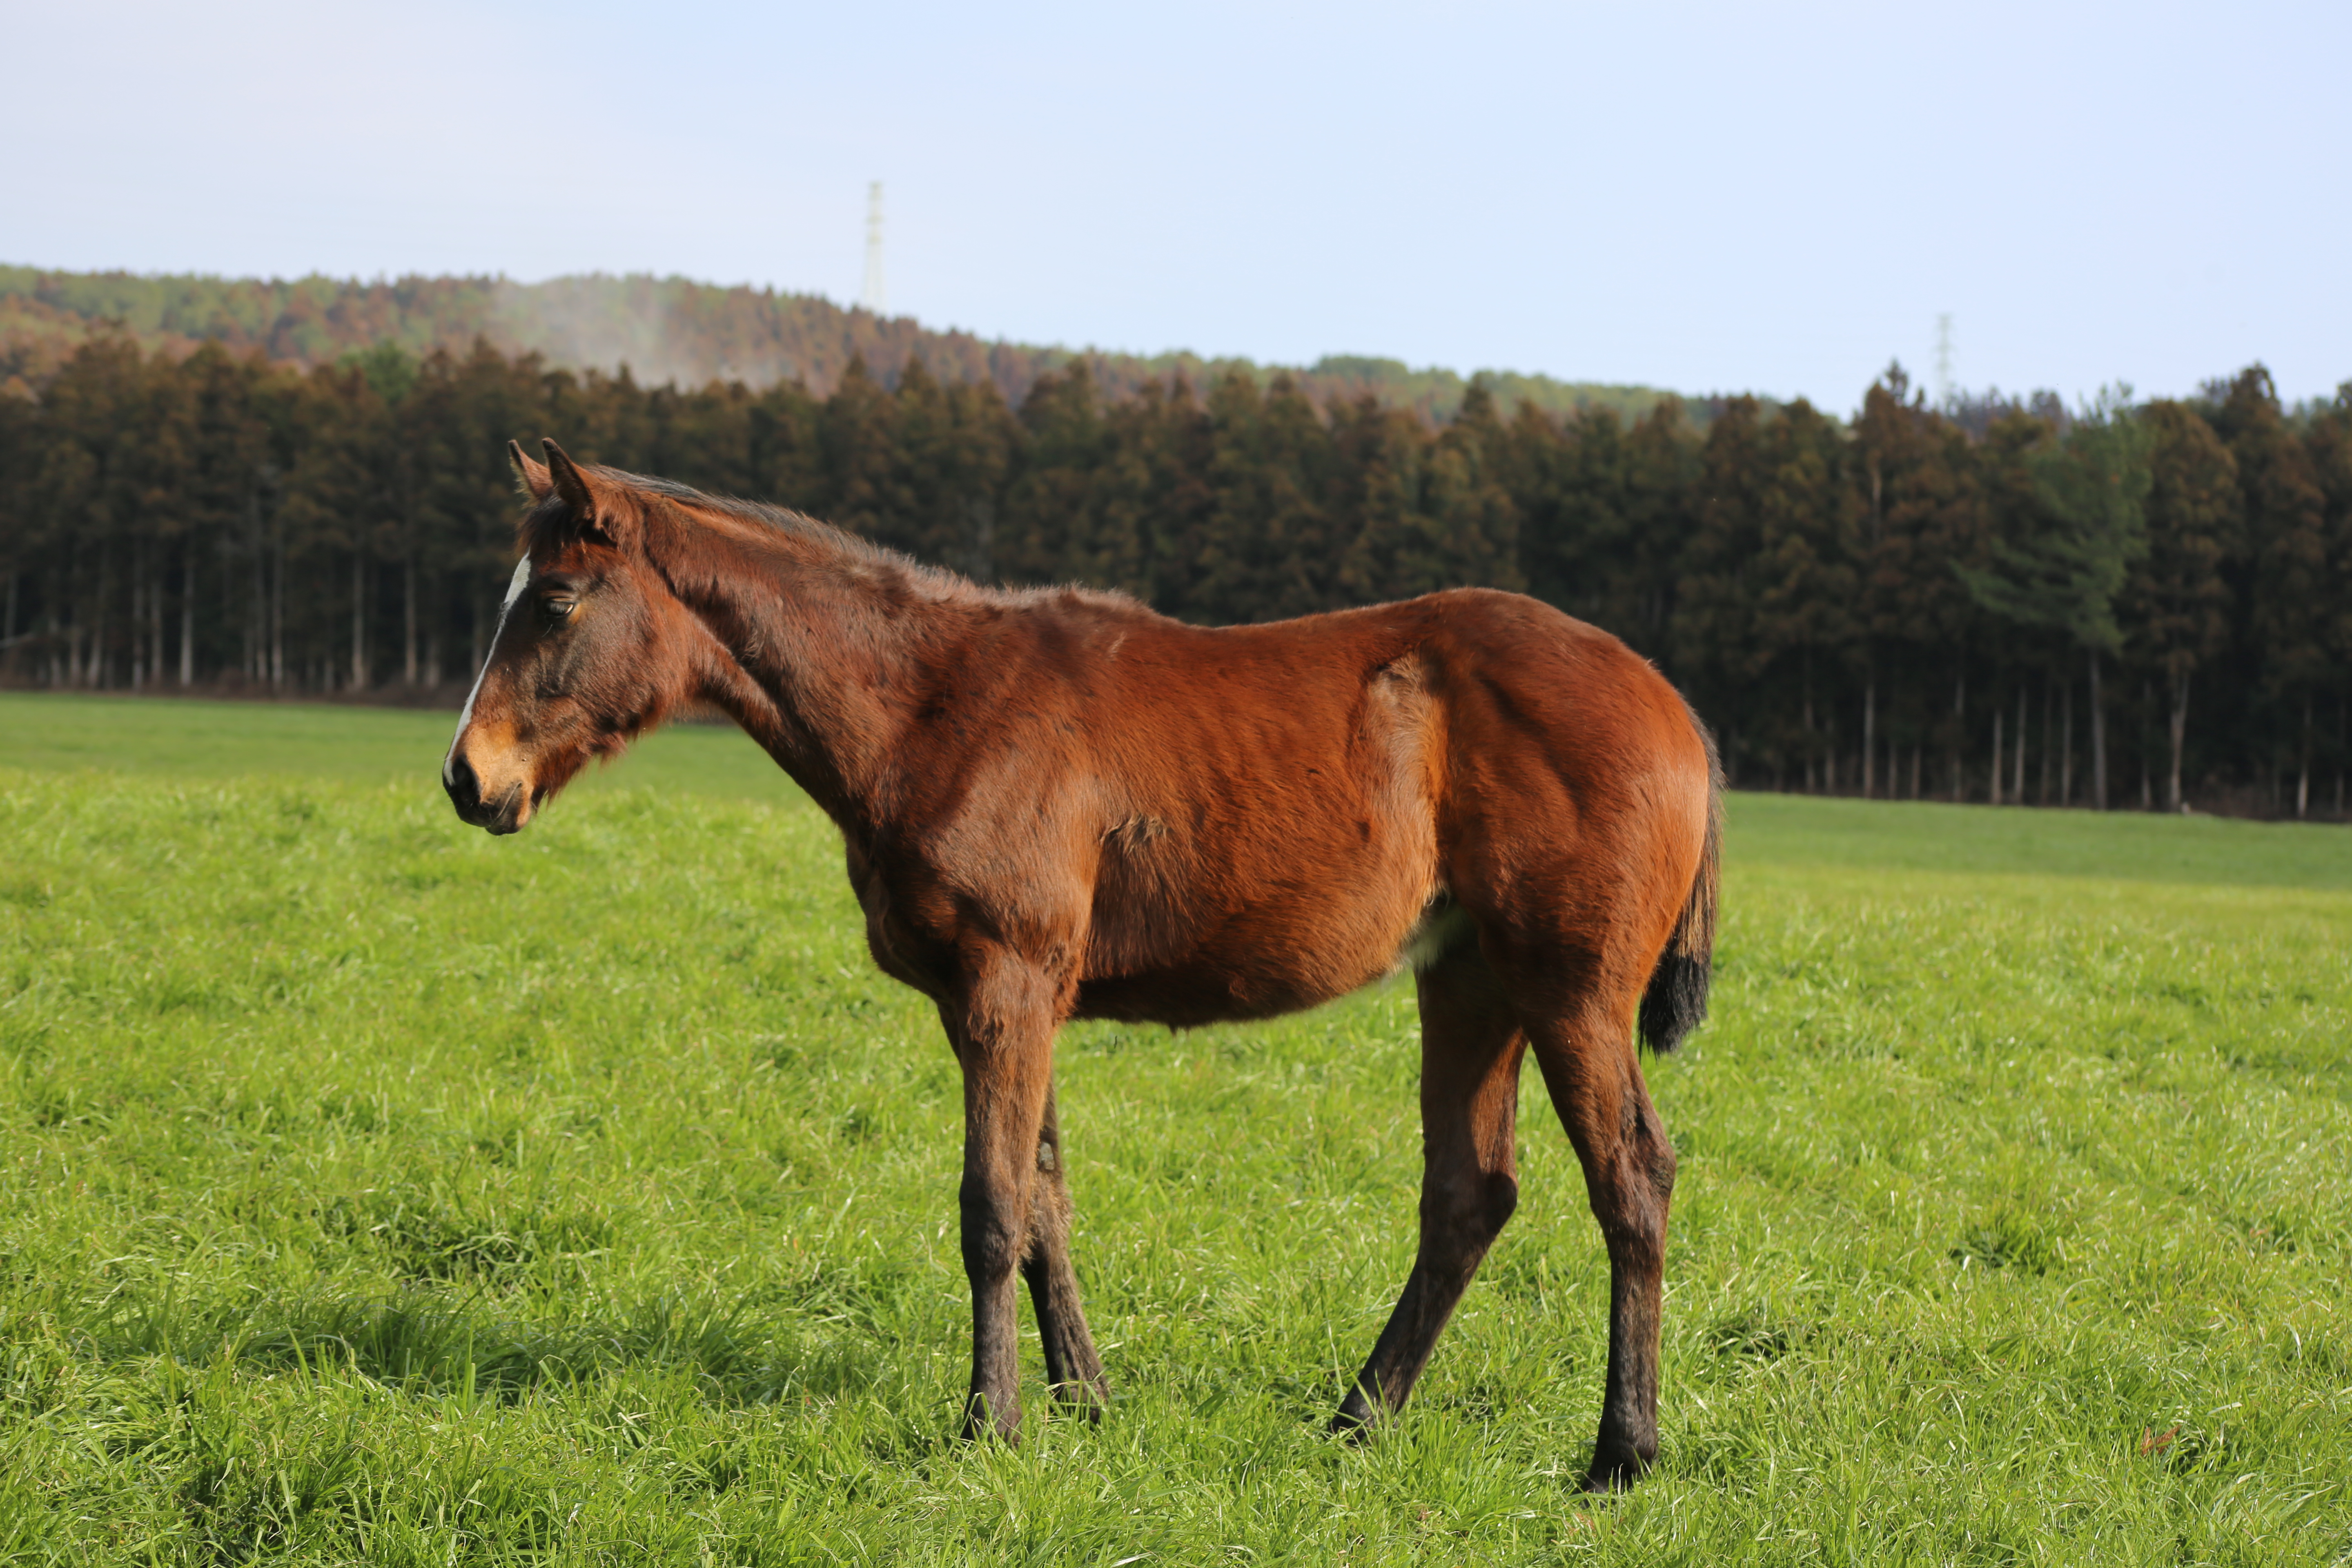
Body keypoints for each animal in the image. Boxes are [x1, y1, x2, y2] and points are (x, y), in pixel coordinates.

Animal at [444, 439, 1731, 1486]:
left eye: (554, 600)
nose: (468, 777)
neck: (930, 707)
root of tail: (1674, 707)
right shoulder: (1016, 997)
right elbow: (1046, 1202)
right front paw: (1085, 1400)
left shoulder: (1004, 985)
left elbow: (991, 1208)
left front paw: (990, 1425)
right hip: (1469, 981)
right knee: (1470, 1195)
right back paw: (1357, 1420)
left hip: (1570, 994)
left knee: (1632, 1180)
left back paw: (1621, 1454)